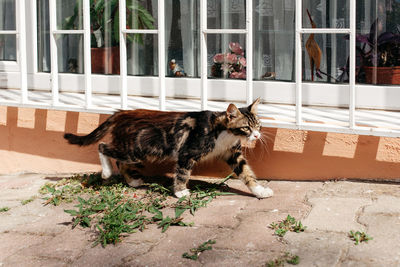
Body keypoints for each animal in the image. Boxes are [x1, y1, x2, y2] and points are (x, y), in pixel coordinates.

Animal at [64, 98, 274, 199]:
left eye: (258, 126)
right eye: (246, 127)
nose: (257, 136)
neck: (224, 133)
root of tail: (122, 112)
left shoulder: (233, 154)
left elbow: (247, 174)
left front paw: (259, 191)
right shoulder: (187, 153)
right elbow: (182, 173)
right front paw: (180, 192)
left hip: (136, 153)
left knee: (120, 161)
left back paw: (132, 181)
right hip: (134, 150)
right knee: (103, 146)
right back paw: (107, 172)